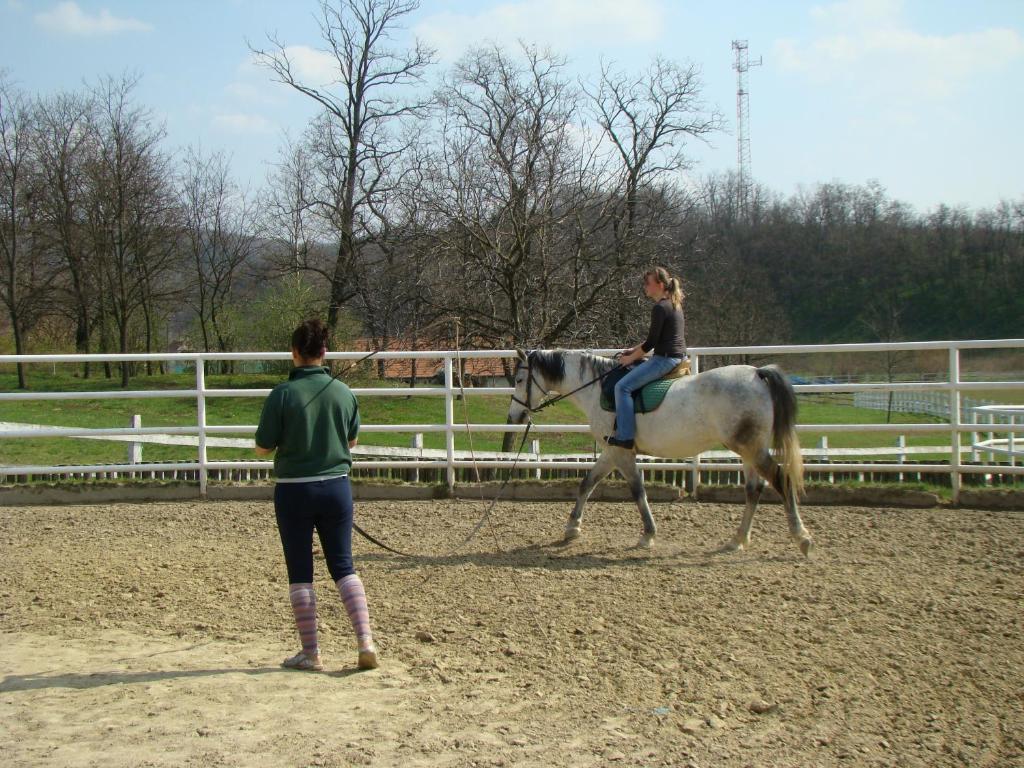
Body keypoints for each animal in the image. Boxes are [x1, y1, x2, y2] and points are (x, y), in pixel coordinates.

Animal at [507, 350, 811, 561]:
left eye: (520, 379)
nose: (514, 416)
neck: (597, 388)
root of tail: (758, 373)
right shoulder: (611, 451)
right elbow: (587, 483)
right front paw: (572, 527)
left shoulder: (620, 451)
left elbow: (637, 490)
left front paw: (648, 534)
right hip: (748, 450)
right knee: (753, 490)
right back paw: (737, 540)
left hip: (751, 449)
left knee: (781, 480)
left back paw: (801, 537)